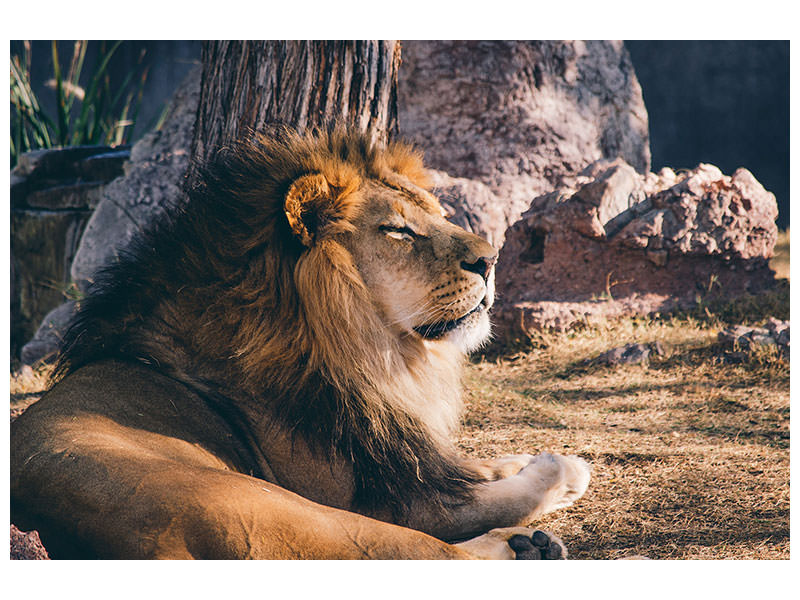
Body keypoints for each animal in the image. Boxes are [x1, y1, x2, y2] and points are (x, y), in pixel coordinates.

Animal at [10, 128, 590, 559]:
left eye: (438, 214)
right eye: (399, 231)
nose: (491, 259)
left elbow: (472, 469)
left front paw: (524, 457)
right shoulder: (385, 498)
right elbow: (495, 496)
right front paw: (559, 468)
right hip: (283, 509)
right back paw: (528, 547)